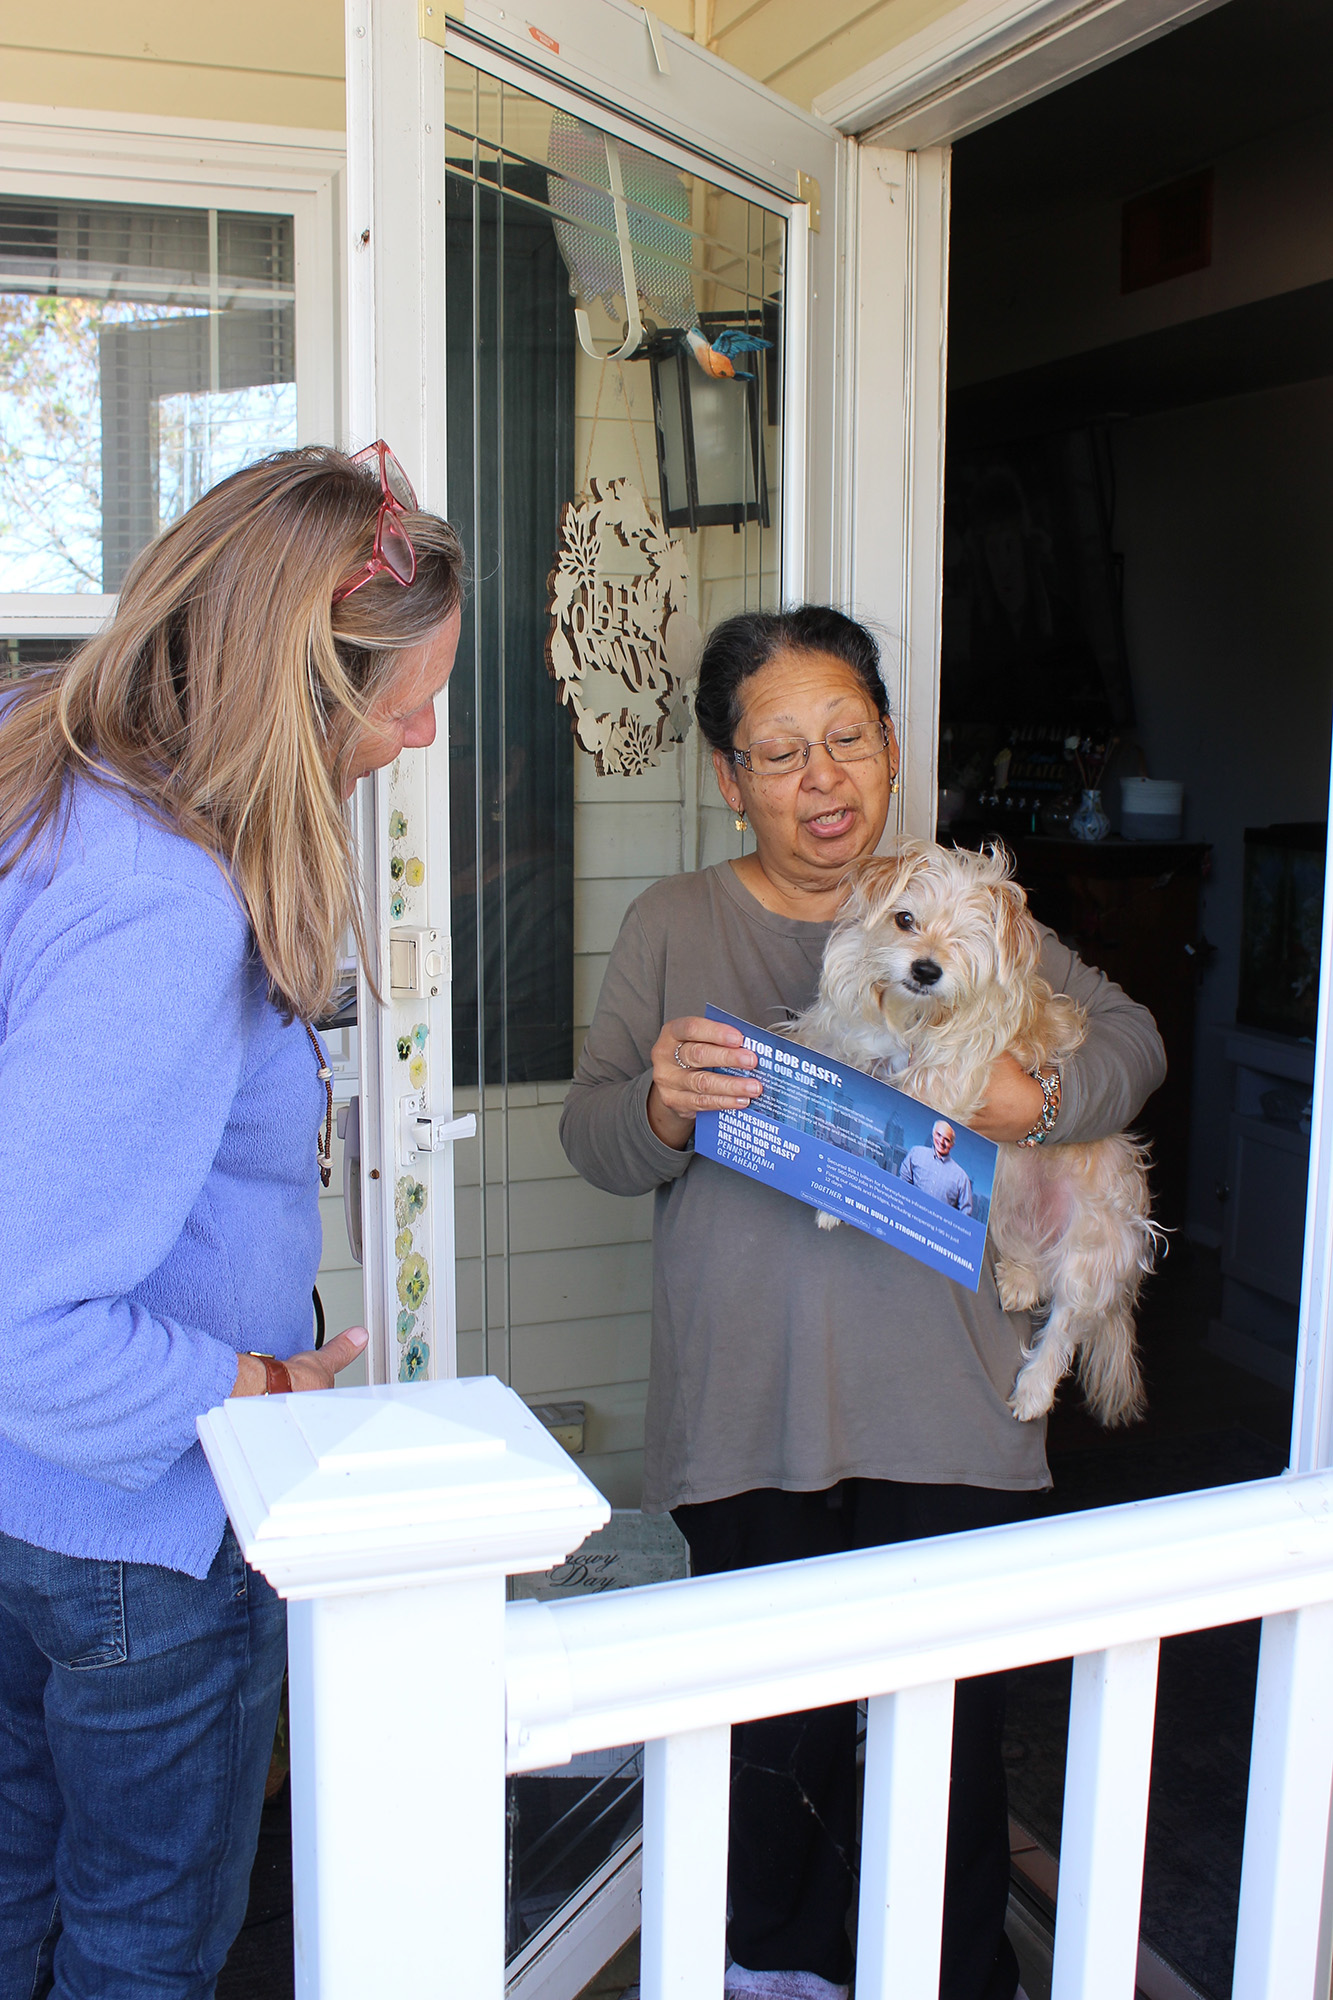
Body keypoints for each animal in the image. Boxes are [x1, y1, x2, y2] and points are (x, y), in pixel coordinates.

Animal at [792, 840, 1160, 1424]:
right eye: (904, 919)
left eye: (968, 938)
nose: (925, 969)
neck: (915, 1016)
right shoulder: (847, 1031)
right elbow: (831, 1054)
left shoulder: (954, 1071)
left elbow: (915, 1092)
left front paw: (843, 1195)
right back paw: (1019, 1279)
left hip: (1096, 1238)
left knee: (1066, 1321)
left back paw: (1033, 1389)